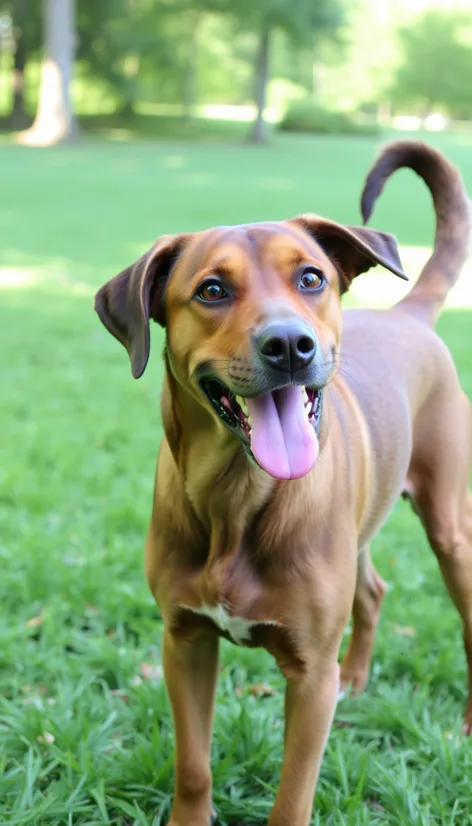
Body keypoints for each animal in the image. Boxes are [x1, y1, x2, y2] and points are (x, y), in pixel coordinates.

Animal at [95, 142, 472, 824]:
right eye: (212, 290)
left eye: (311, 279)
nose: (290, 344)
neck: (236, 497)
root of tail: (408, 314)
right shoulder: (183, 642)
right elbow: (193, 766)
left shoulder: (311, 675)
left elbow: (294, 794)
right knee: (372, 591)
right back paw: (359, 680)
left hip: (450, 527)